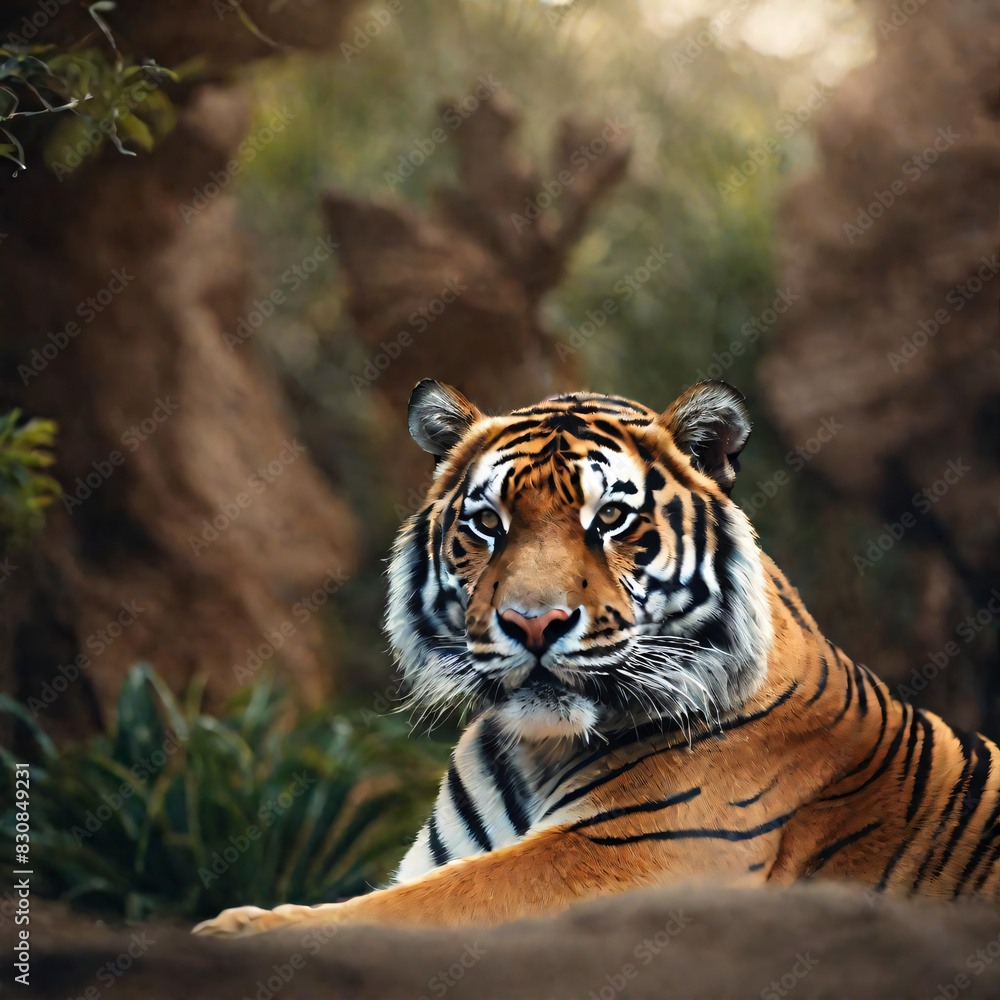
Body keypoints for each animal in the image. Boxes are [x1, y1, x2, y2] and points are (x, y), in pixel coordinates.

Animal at [193, 378, 1000, 938]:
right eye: (488, 524)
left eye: (610, 517)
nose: (535, 623)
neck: (536, 750)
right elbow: (406, 895)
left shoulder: (635, 856)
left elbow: (416, 908)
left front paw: (238, 930)